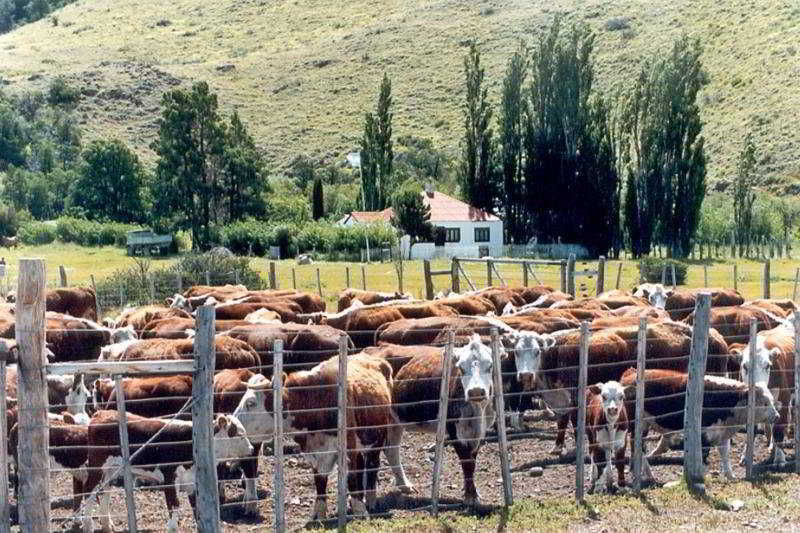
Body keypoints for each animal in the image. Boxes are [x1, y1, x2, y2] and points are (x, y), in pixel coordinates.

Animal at [81, 412, 250, 532]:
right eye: (239, 435)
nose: (251, 449)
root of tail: (101, 413)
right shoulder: (170, 480)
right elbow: (174, 508)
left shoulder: (192, 482)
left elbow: (197, 511)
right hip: (97, 466)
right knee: (88, 491)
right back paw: (88, 525)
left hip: (111, 471)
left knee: (105, 493)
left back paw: (107, 525)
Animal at [620, 368, 780, 480]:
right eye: (764, 403)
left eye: (772, 400)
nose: (777, 416)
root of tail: (630, 374)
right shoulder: (703, 434)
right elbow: (701, 454)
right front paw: (699, 475)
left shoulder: (721, 434)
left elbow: (725, 455)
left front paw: (731, 476)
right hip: (638, 425)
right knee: (637, 446)